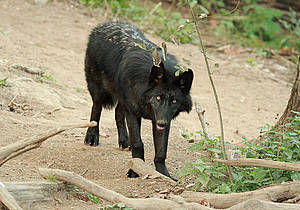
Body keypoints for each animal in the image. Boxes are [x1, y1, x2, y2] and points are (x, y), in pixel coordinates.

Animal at [83, 21, 193, 180]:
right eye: (158, 97)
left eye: (173, 101)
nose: (162, 123)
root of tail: (106, 24)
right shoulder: (134, 113)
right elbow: (138, 144)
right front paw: (135, 170)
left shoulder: (162, 119)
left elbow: (161, 152)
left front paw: (164, 174)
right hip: (99, 91)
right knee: (96, 109)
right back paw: (92, 136)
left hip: (123, 100)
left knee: (117, 113)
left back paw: (124, 141)